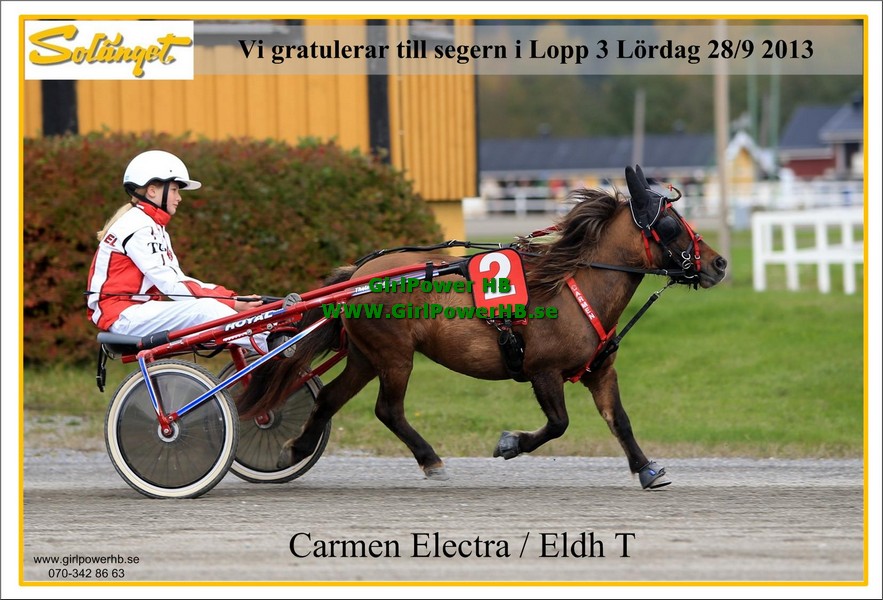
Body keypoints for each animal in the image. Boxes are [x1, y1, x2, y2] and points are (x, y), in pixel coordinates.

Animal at [238, 165, 728, 489]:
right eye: (670, 225)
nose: (720, 264)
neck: (573, 286)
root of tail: (360, 274)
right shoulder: (542, 371)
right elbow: (558, 424)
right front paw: (510, 443)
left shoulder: (599, 371)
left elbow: (620, 420)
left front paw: (647, 468)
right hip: (395, 356)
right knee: (388, 410)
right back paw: (431, 459)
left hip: (365, 355)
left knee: (331, 399)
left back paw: (297, 448)